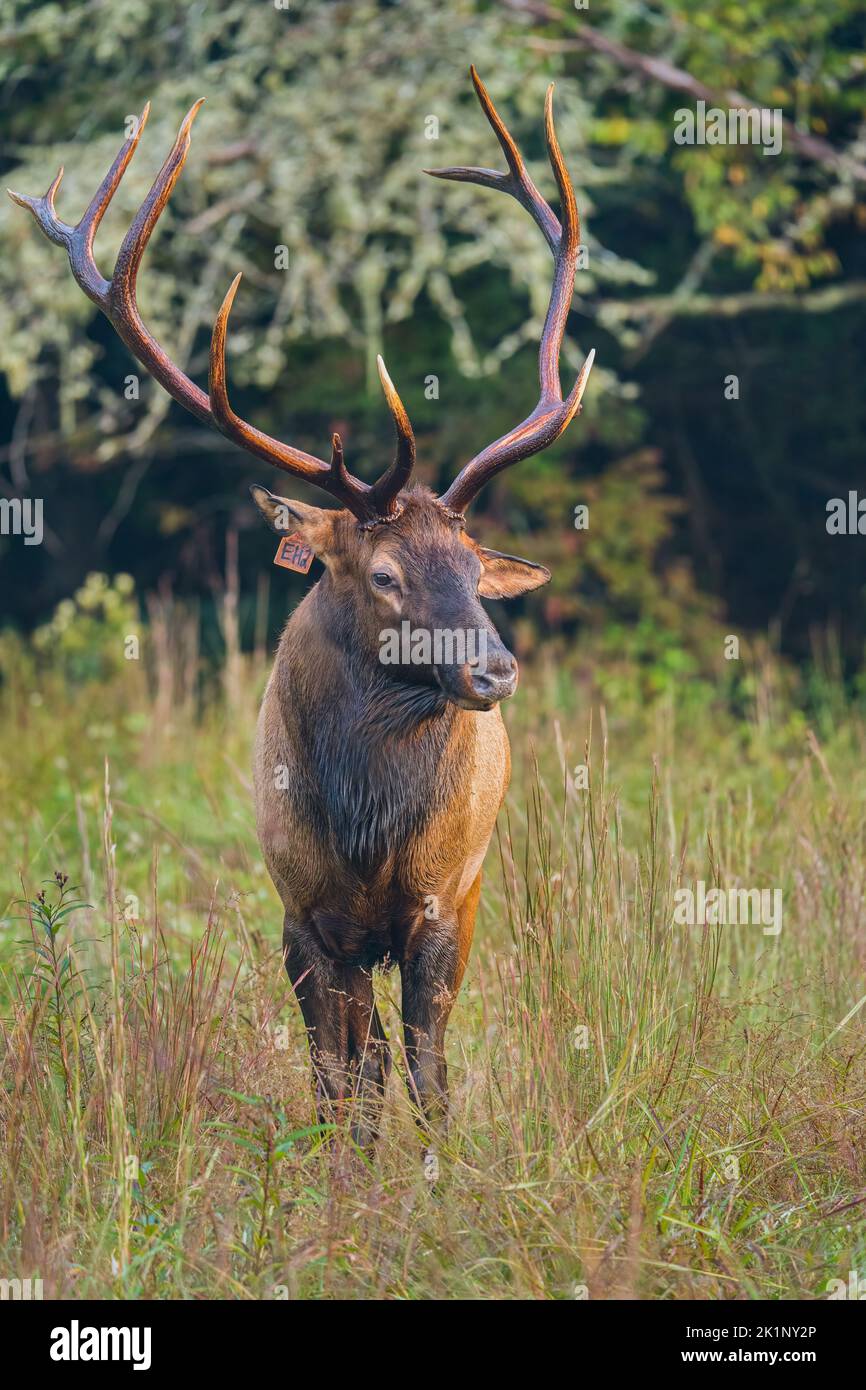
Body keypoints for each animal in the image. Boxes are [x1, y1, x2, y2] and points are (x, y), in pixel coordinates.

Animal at [11, 65, 594, 1150]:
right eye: (384, 575)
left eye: (470, 561)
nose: (493, 668)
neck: (366, 834)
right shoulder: (303, 913)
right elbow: (340, 1085)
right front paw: (347, 1182)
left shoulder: (443, 903)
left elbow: (428, 1073)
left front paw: (439, 1171)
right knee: (357, 1066)